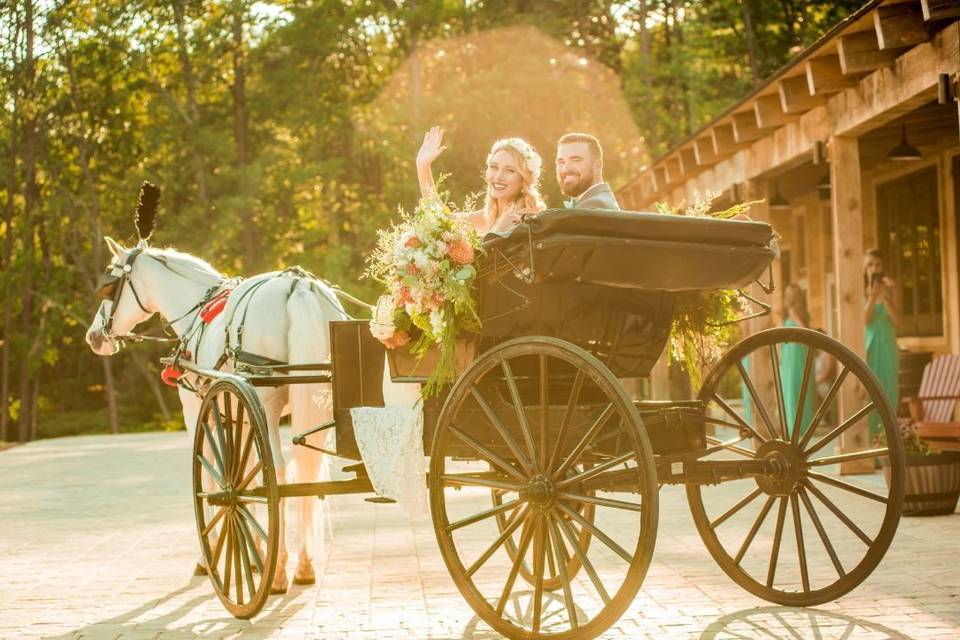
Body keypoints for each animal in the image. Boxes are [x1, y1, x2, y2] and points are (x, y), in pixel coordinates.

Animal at [86, 238, 346, 592]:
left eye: (109, 286)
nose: (94, 336)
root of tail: (298, 286)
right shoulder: (240, 414)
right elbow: (249, 473)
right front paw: (256, 549)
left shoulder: (202, 413)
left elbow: (214, 476)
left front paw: (215, 554)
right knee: (306, 475)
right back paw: (303, 565)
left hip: (267, 405)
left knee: (278, 472)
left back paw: (278, 570)